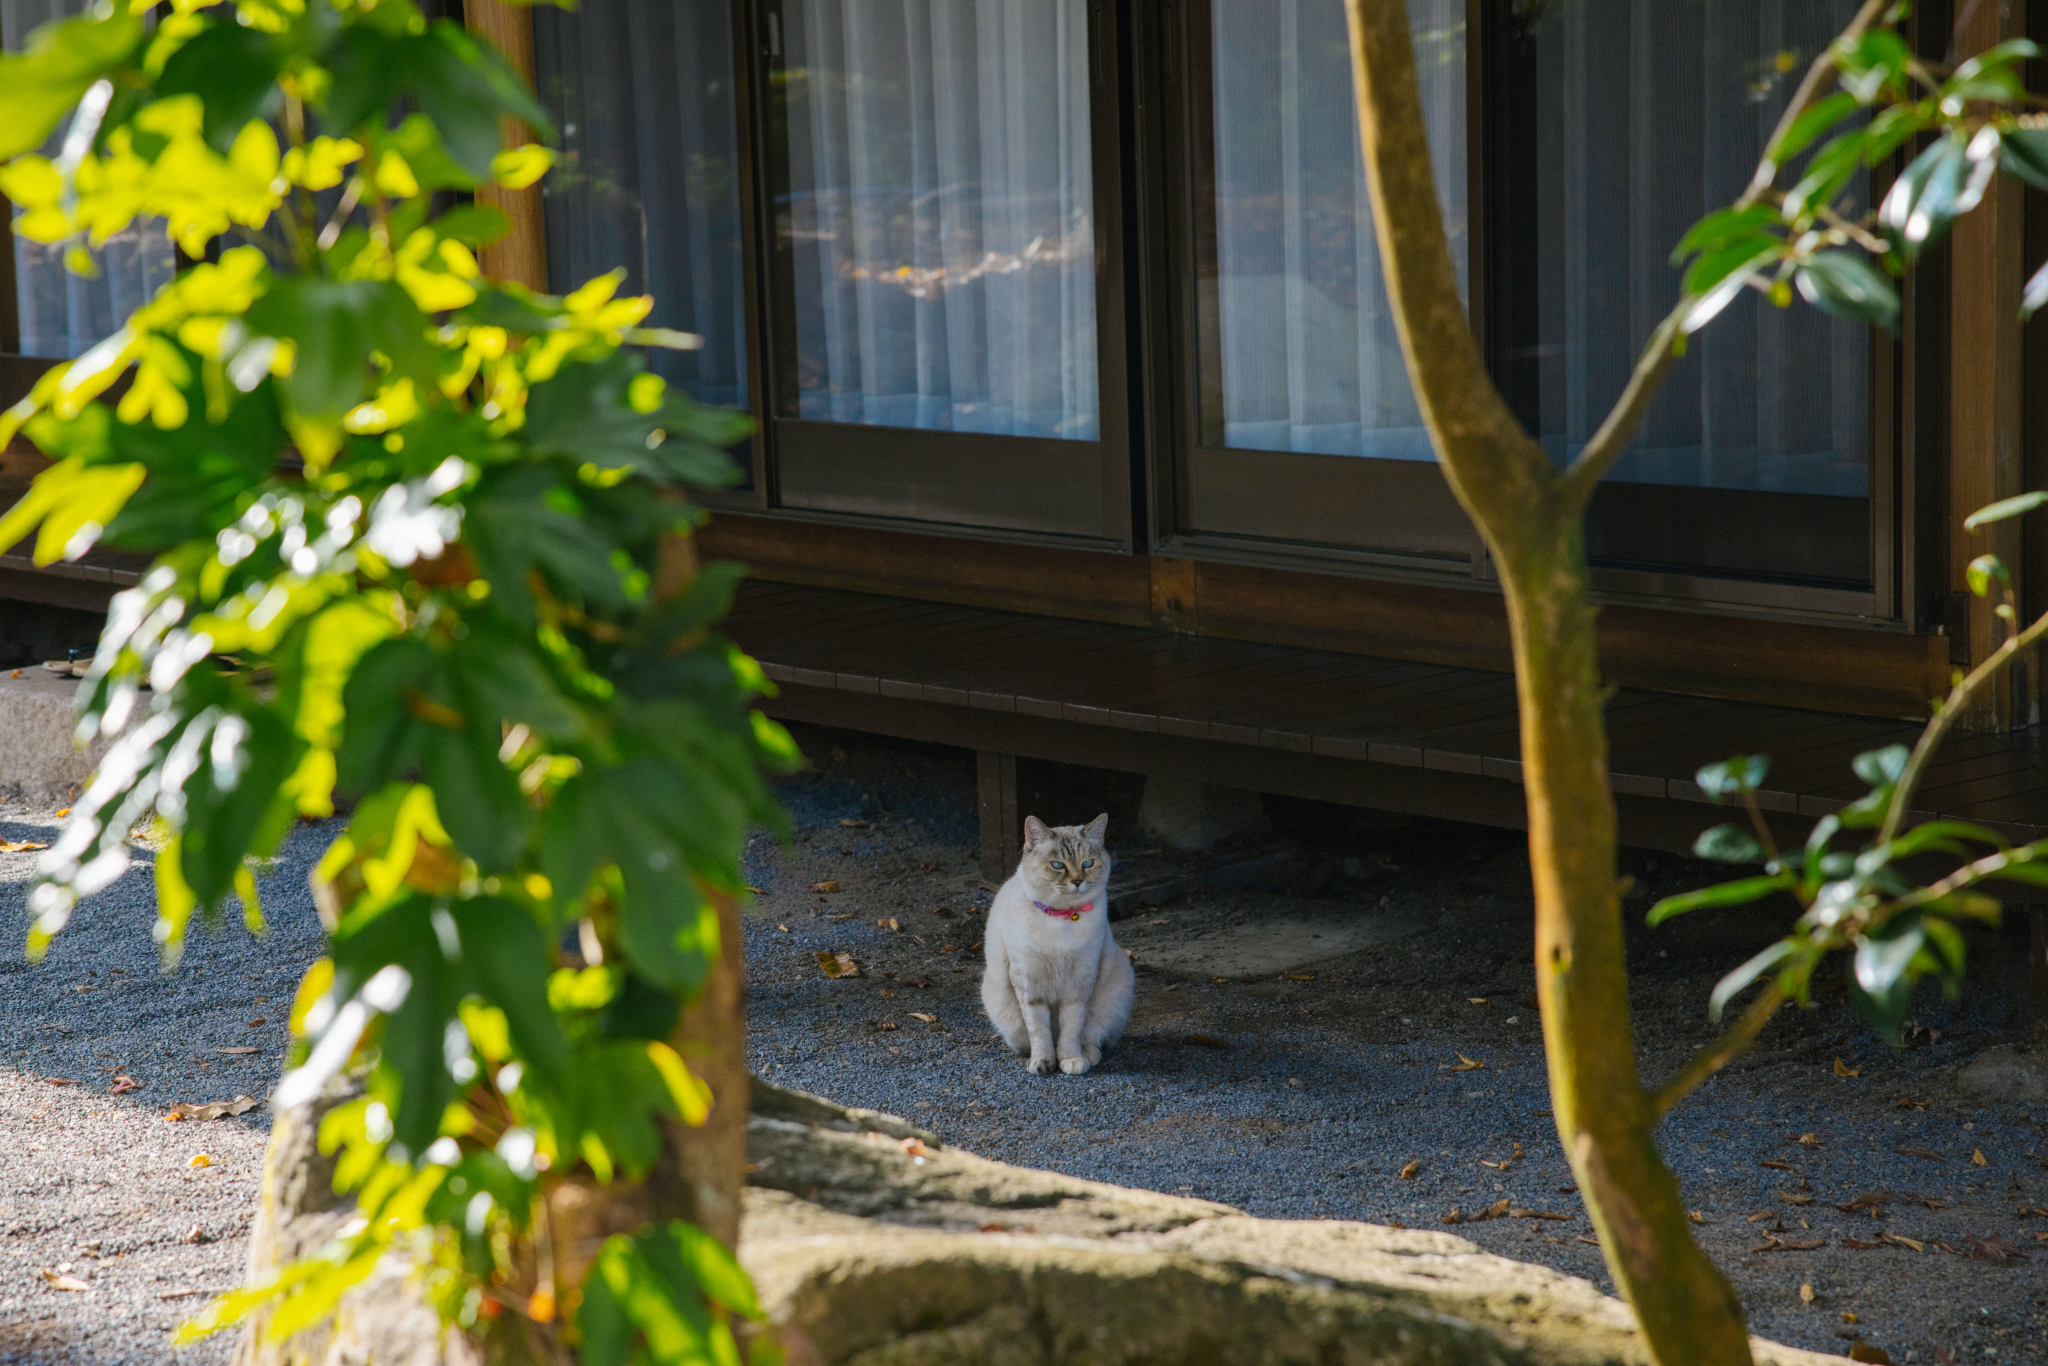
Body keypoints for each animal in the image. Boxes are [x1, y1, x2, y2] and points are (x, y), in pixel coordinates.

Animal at [978, 810, 1138, 1081]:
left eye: (1087, 864)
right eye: (1057, 866)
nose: (1077, 881)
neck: (1063, 917)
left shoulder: (1079, 983)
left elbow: (1071, 1028)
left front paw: (1070, 1060)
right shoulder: (1029, 984)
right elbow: (1040, 1031)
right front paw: (1044, 1062)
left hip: (1114, 994)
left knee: (1094, 1037)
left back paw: (1087, 1056)